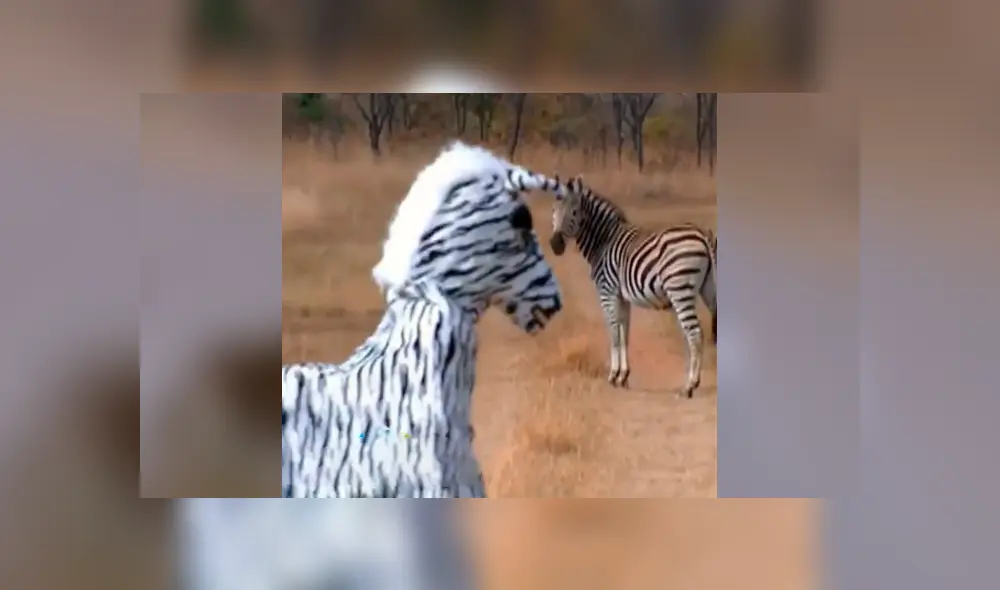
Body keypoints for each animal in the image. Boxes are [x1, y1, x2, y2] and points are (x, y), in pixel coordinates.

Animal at [549, 177, 717, 398]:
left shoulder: (607, 292)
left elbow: (613, 333)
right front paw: (623, 376)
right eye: (554, 210)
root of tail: (702, 234)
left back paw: (689, 386)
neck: (603, 241)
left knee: (695, 334)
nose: (555, 245)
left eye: (574, 211)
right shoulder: (622, 297)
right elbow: (624, 333)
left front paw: (613, 376)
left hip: (680, 289)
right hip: (708, 289)